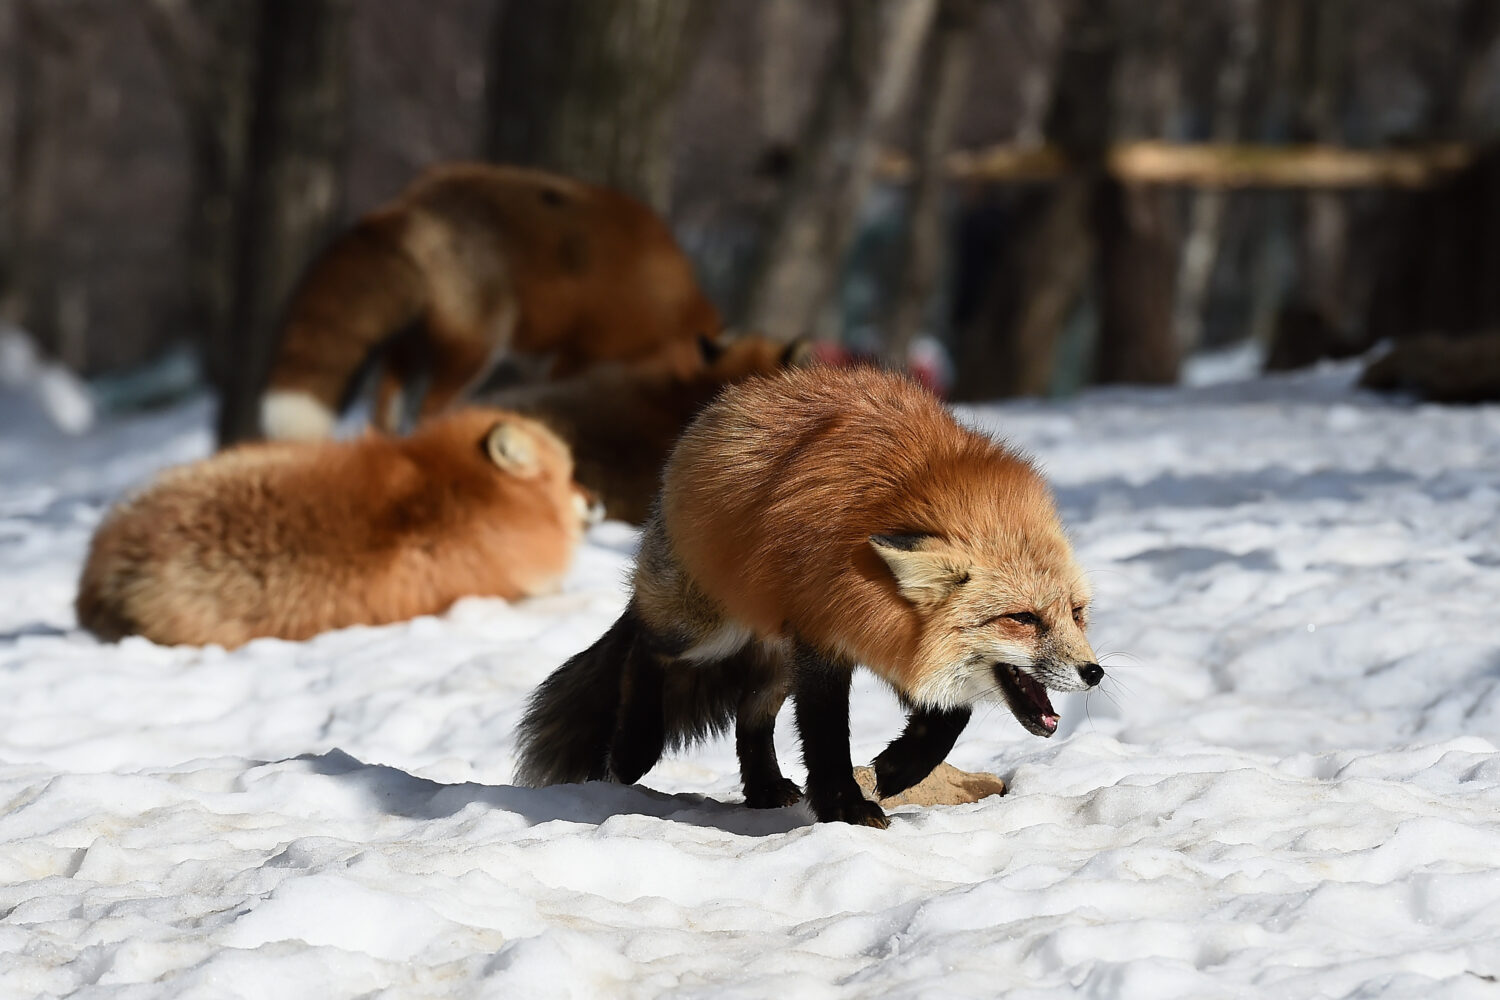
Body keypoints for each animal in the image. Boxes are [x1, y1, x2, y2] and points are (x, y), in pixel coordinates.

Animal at [259, 162, 723, 441]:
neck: (674, 311)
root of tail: (412, 201)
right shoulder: (580, 355)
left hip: (410, 349)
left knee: (383, 408)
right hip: (476, 350)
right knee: (428, 410)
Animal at [514, 365, 1101, 827]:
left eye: (1075, 614)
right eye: (1022, 618)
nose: (1094, 672)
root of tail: (738, 394)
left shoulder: (894, 637)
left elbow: (948, 718)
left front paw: (894, 771)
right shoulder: (825, 638)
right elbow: (826, 733)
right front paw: (846, 805)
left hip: (777, 649)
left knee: (750, 714)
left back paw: (763, 787)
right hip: (707, 627)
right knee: (645, 647)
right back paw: (635, 746)